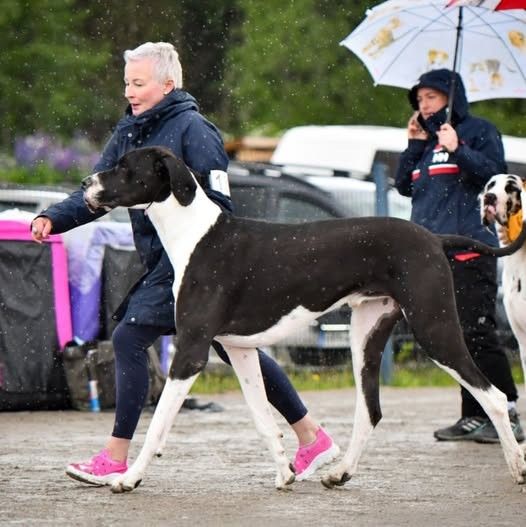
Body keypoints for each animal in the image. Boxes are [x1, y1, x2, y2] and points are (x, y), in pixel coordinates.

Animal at [81, 147, 526, 493]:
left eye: (124, 165)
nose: (85, 182)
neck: (196, 235)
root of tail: (434, 238)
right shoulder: (239, 350)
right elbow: (263, 419)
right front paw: (284, 473)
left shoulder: (190, 351)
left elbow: (158, 421)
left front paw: (129, 477)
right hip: (366, 337)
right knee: (371, 410)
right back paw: (341, 473)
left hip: (434, 327)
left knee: (494, 396)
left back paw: (517, 467)